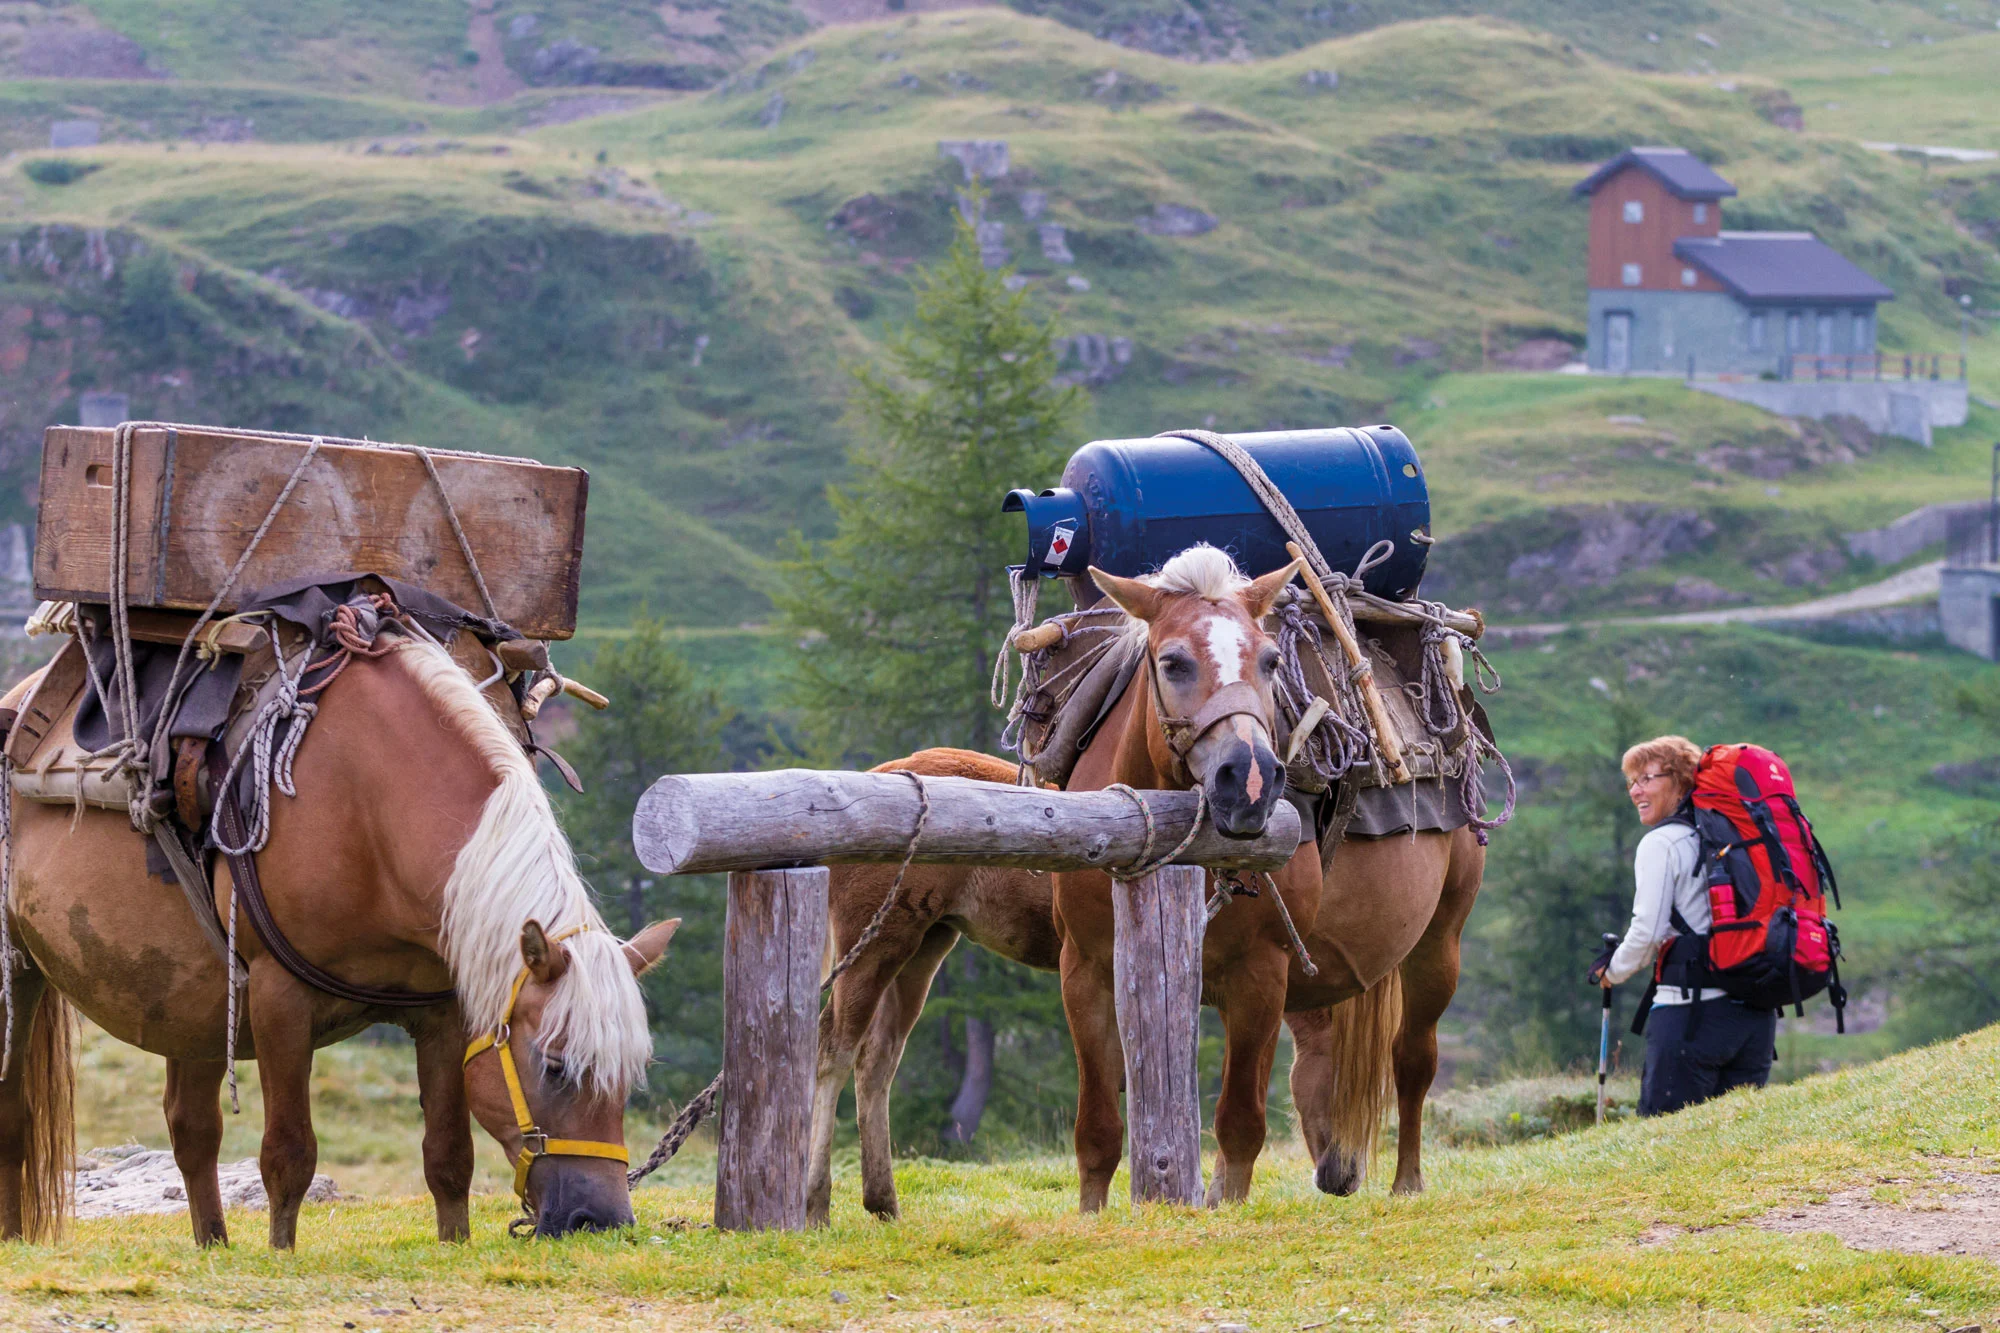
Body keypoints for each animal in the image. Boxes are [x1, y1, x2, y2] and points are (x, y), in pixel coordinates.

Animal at [812, 544, 1488, 1216]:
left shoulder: (1262, 979)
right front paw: (1097, 1213)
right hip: (880, 945)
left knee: (1411, 1058)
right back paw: (820, 1196)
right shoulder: (1087, 971)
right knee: (838, 1051)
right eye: (1173, 662)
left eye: (1271, 660)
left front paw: (1219, 1201)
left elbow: (1240, 1120)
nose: (1249, 780)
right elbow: (1100, 1125)